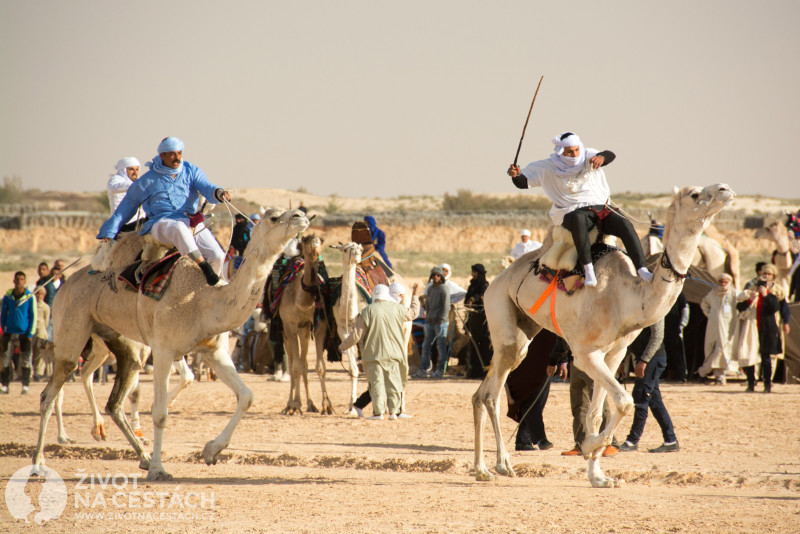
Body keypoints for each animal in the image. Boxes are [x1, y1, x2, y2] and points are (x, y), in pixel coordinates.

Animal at [32, 208, 306, 482]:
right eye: (274, 217)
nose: (301, 216)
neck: (204, 300)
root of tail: (66, 283)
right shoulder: (164, 350)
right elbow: (160, 412)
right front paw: (158, 468)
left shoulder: (213, 350)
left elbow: (246, 396)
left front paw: (211, 451)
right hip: (71, 330)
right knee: (51, 391)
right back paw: (39, 463)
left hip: (116, 339)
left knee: (111, 398)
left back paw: (136, 453)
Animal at [278, 236, 334, 418]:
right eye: (306, 240)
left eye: (320, 241)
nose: (315, 251)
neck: (302, 301)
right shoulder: (290, 325)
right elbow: (295, 367)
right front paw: (295, 406)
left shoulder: (318, 325)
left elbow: (319, 367)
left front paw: (326, 406)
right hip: (286, 332)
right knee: (293, 363)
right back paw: (290, 405)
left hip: (304, 330)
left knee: (304, 364)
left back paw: (310, 404)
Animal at [472, 184, 736, 490]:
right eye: (694, 194)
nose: (725, 189)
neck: (627, 297)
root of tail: (495, 281)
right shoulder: (586, 353)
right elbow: (623, 401)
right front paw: (589, 447)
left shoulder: (613, 354)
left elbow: (597, 412)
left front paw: (598, 476)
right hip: (502, 314)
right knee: (491, 394)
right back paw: (493, 467)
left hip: (524, 328)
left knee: (483, 393)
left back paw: (491, 468)